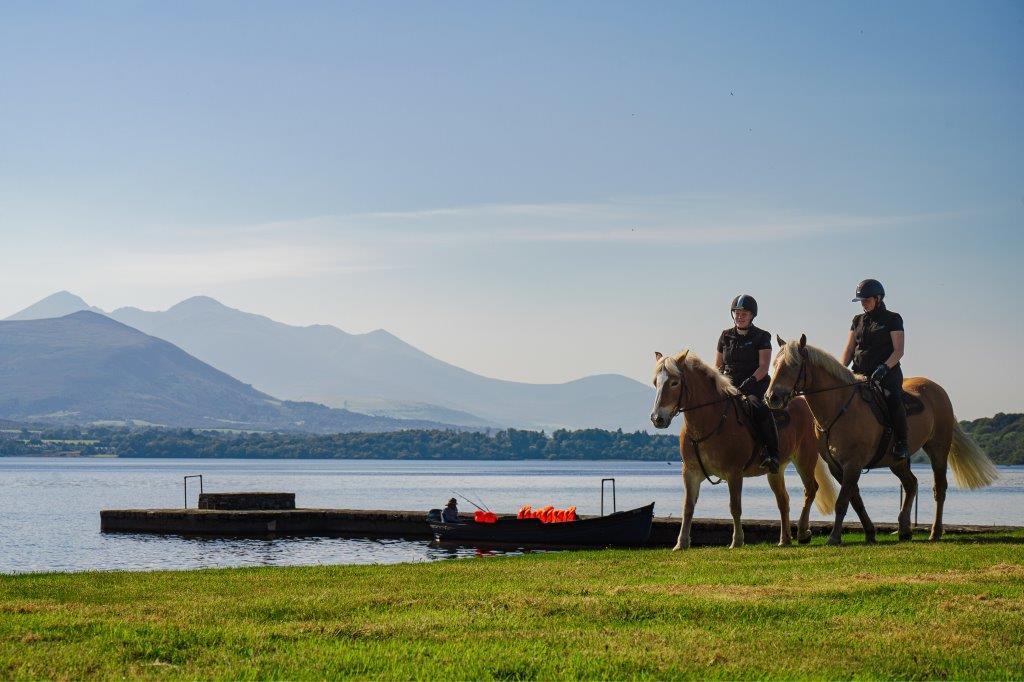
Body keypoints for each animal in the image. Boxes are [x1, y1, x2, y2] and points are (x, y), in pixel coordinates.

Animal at [650, 350, 837, 549]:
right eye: (655, 382)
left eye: (674, 382)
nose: (657, 418)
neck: (710, 420)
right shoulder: (690, 472)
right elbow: (688, 507)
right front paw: (681, 543)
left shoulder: (734, 473)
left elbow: (735, 506)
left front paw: (737, 541)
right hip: (776, 470)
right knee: (783, 500)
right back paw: (784, 539)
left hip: (804, 459)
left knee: (810, 490)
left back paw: (802, 532)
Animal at [765, 334, 997, 545]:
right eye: (774, 364)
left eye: (793, 365)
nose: (771, 398)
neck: (838, 407)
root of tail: (937, 390)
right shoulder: (837, 467)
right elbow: (855, 500)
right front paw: (870, 533)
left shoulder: (852, 464)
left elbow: (843, 502)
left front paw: (834, 537)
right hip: (897, 461)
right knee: (911, 484)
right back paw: (904, 529)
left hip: (938, 450)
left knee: (939, 489)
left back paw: (935, 532)